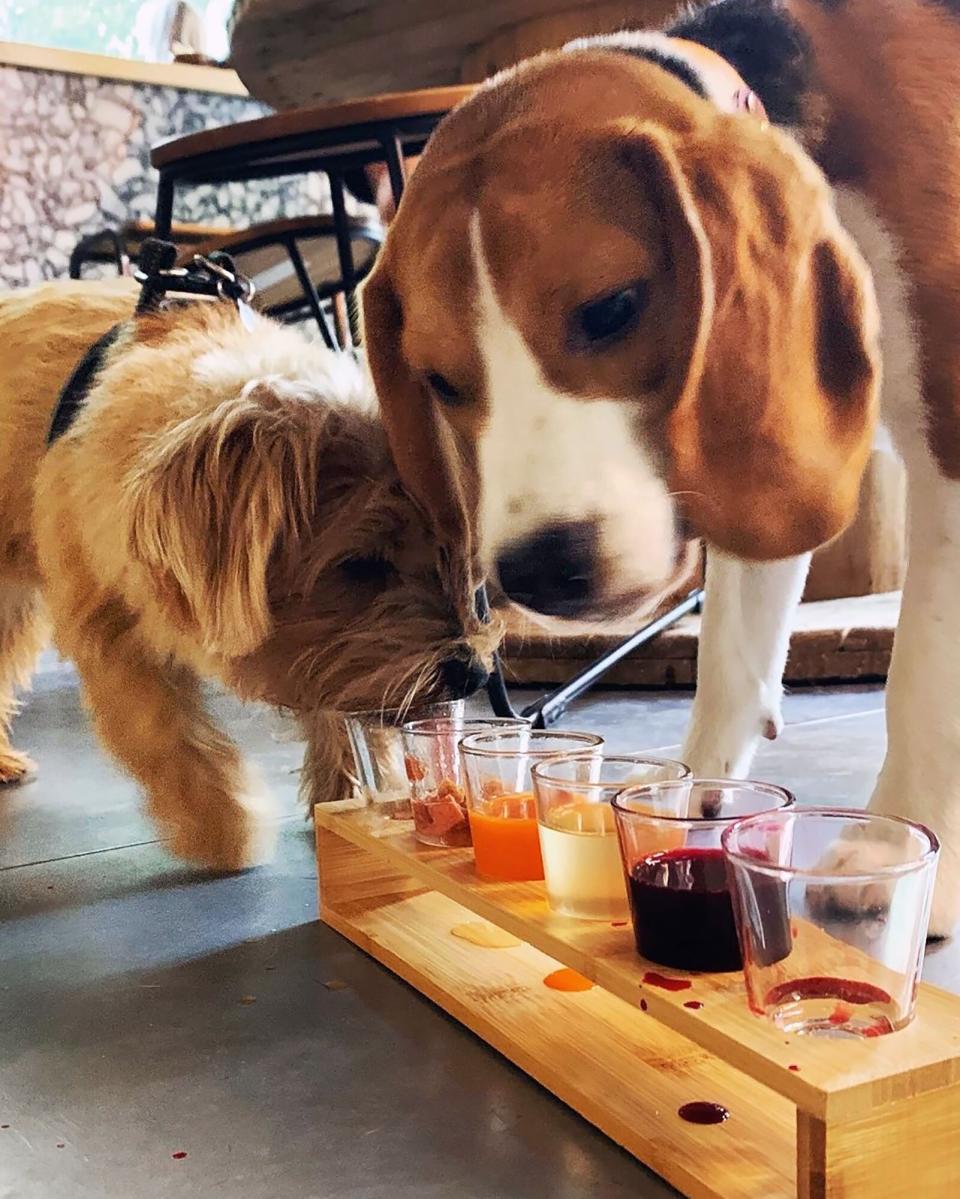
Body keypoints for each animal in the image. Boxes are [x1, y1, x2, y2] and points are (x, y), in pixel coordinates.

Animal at [0, 276, 493, 868]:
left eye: (454, 555)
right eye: (362, 565)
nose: (473, 673)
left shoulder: (327, 657)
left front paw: (351, 794)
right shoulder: (112, 634)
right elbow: (169, 734)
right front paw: (224, 827)